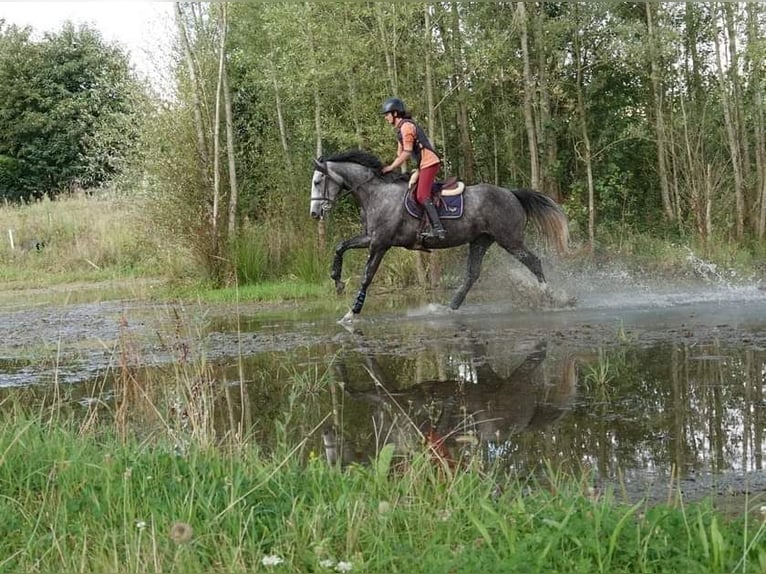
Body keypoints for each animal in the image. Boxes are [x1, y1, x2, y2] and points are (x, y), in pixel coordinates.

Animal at [310, 150, 568, 324]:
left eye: (317, 181)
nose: (314, 213)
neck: (376, 193)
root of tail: (511, 193)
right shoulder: (369, 238)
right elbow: (341, 246)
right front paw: (337, 280)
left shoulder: (380, 244)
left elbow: (366, 277)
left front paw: (351, 313)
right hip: (481, 240)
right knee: (472, 274)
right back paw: (449, 308)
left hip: (510, 240)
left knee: (534, 262)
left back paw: (549, 296)